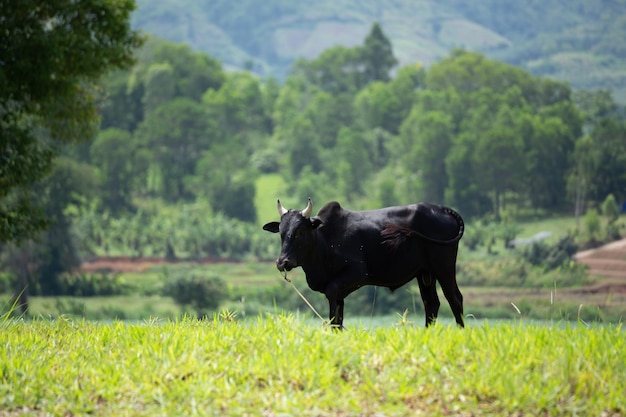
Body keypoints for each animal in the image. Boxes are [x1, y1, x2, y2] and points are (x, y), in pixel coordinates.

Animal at [262, 198, 464, 328]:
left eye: (300, 232)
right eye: (281, 233)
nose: (282, 262)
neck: (325, 241)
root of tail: (442, 209)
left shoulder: (356, 274)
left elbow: (331, 298)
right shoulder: (340, 289)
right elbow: (337, 314)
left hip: (443, 267)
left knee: (454, 298)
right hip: (424, 274)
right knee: (431, 303)